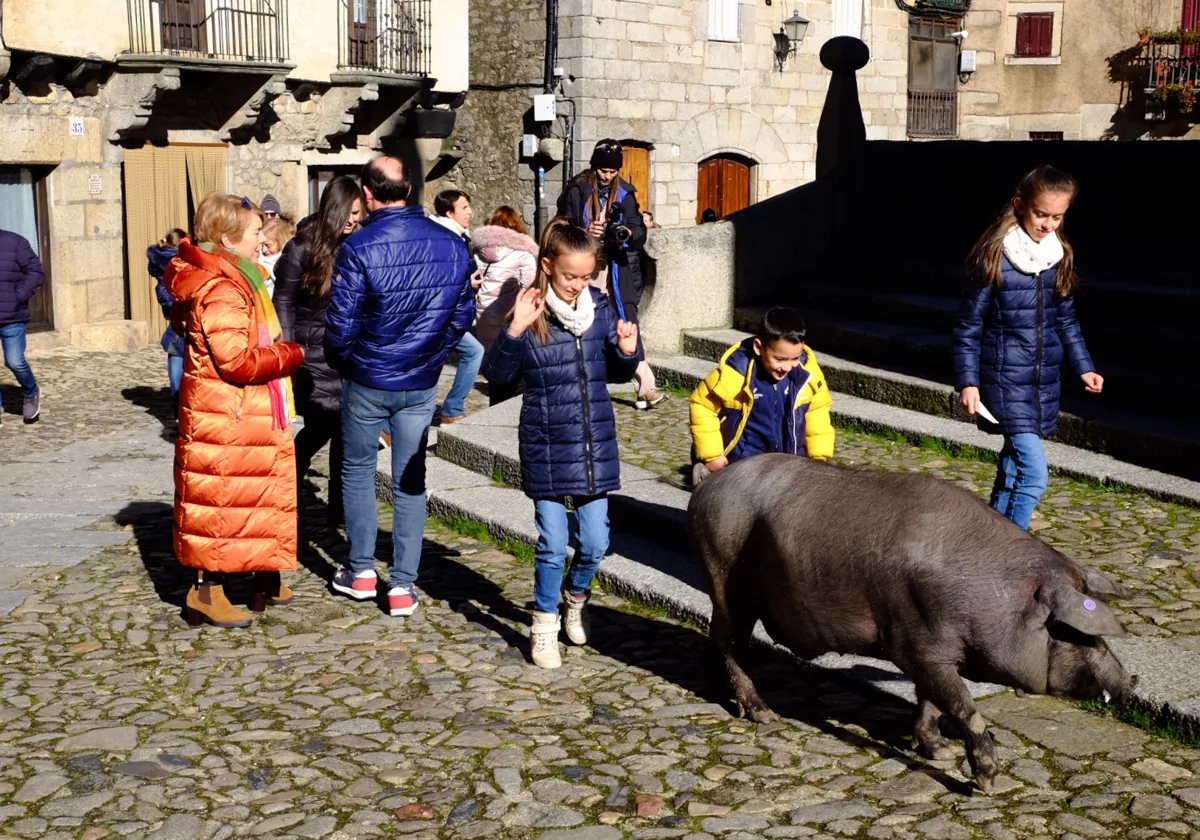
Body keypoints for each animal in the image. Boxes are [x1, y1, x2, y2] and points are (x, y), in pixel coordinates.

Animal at [691, 456, 1137, 792]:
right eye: (1071, 632)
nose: (1130, 680)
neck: (991, 597)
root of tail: (706, 486)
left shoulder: (928, 650)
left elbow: (929, 700)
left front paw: (939, 750)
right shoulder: (920, 647)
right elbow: (963, 706)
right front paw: (989, 784)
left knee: (717, 639)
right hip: (725, 574)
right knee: (732, 643)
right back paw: (765, 715)